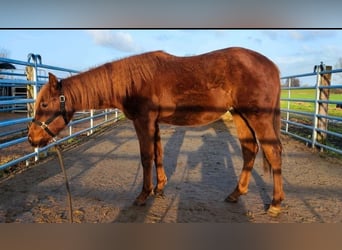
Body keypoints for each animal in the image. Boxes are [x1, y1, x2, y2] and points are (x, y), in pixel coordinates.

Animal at [27, 47, 284, 216]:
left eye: (44, 104)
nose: (31, 138)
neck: (131, 81)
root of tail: (272, 66)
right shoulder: (155, 123)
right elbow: (158, 154)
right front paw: (160, 187)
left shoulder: (144, 121)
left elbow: (146, 157)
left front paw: (143, 195)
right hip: (241, 115)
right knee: (249, 150)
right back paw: (236, 193)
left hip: (258, 117)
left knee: (273, 153)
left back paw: (275, 203)